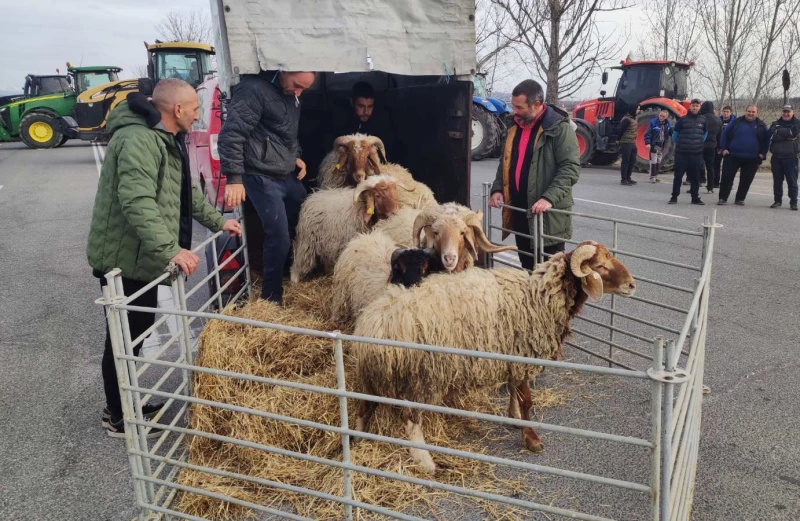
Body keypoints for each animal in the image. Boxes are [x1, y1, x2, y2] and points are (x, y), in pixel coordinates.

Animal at [350, 240, 636, 472]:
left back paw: (356, 440)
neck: (538, 297)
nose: (632, 285)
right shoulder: (523, 356)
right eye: (599, 265)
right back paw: (426, 462)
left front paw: (514, 418)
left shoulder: (511, 355)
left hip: (373, 374)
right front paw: (532, 439)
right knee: (411, 421)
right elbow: (526, 400)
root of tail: (376, 324)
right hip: (421, 377)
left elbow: (513, 392)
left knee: (364, 406)